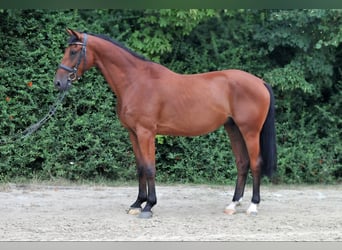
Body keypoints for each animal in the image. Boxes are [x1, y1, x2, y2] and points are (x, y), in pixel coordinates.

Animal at [54, 28, 278, 218]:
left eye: (73, 51)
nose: (58, 82)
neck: (136, 82)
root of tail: (260, 82)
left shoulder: (146, 133)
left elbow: (150, 168)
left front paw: (148, 206)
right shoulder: (133, 133)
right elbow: (140, 168)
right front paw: (137, 204)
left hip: (250, 131)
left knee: (255, 163)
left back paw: (253, 206)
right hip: (233, 129)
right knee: (242, 163)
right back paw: (232, 204)